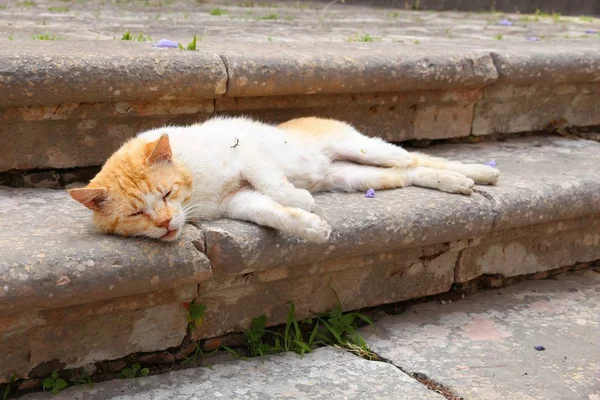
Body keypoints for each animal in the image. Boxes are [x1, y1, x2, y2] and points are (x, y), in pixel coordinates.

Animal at [68, 116, 500, 244]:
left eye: (167, 192)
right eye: (136, 214)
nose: (165, 224)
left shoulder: (249, 157)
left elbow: (275, 186)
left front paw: (302, 201)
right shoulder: (238, 200)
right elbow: (271, 212)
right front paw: (311, 227)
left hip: (364, 149)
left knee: (416, 157)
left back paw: (478, 174)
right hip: (353, 176)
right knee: (409, 173)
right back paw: (458, 184)